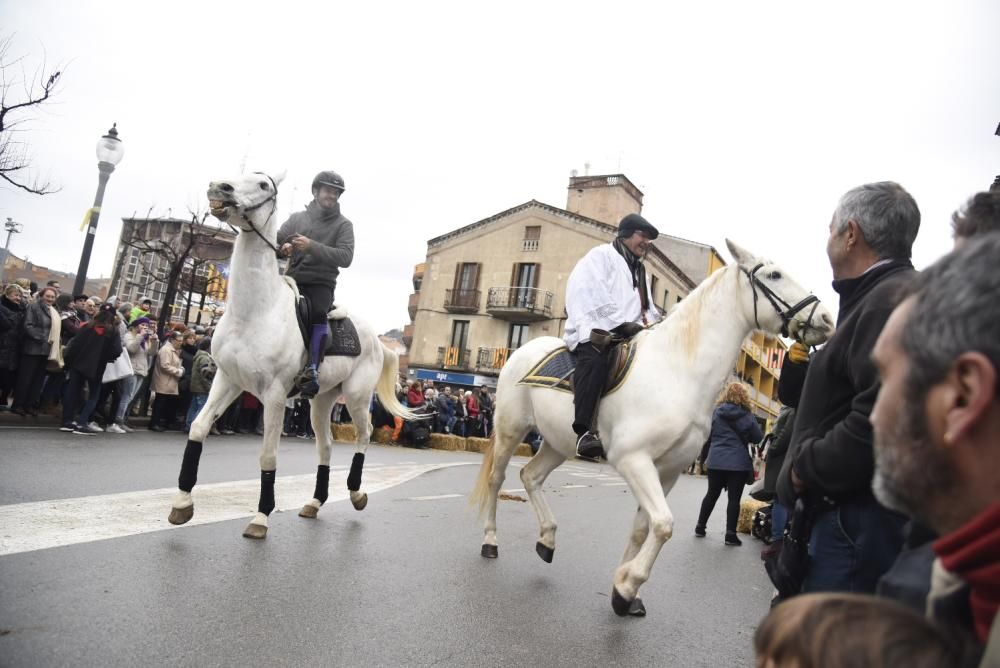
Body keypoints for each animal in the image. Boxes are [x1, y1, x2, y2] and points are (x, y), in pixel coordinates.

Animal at [167, 171, 414, 536]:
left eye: (263, 185)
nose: (219, 188)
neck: (254, 312)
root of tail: (375, 339)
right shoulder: (227, 380)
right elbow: (198, 428)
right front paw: (182, 504)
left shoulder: (273, 394)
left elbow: (268, 455)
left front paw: (261, 517)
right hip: (321, 401)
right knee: (326, 445)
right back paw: (315, 501)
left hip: (356, 397)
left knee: (365, 435)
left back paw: (356, 493)